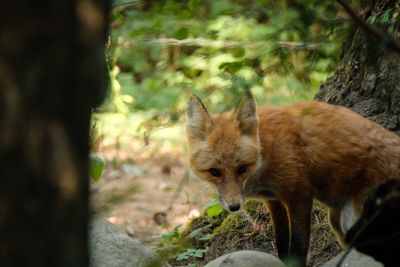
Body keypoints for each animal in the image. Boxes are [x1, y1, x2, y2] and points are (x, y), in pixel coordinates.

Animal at [186, 91, 398, 266]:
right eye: (214, 171)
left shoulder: (299, 194)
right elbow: (281, 245)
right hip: (338, 223)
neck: (265, 152)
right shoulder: (273, 200)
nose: (234, 207)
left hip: (354, 220)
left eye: (242, 168)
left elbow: (298, 248)